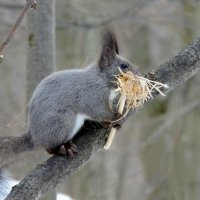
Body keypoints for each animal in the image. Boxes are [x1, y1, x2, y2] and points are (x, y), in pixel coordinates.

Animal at [0, 28, 139, 167]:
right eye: (123, 66)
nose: (139, 74)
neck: (101, 78)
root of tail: (34, 137)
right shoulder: (91, 95)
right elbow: (100, 111)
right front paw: (116, 117)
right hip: (62, 121)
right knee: (49, 147)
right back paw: (63, 148)